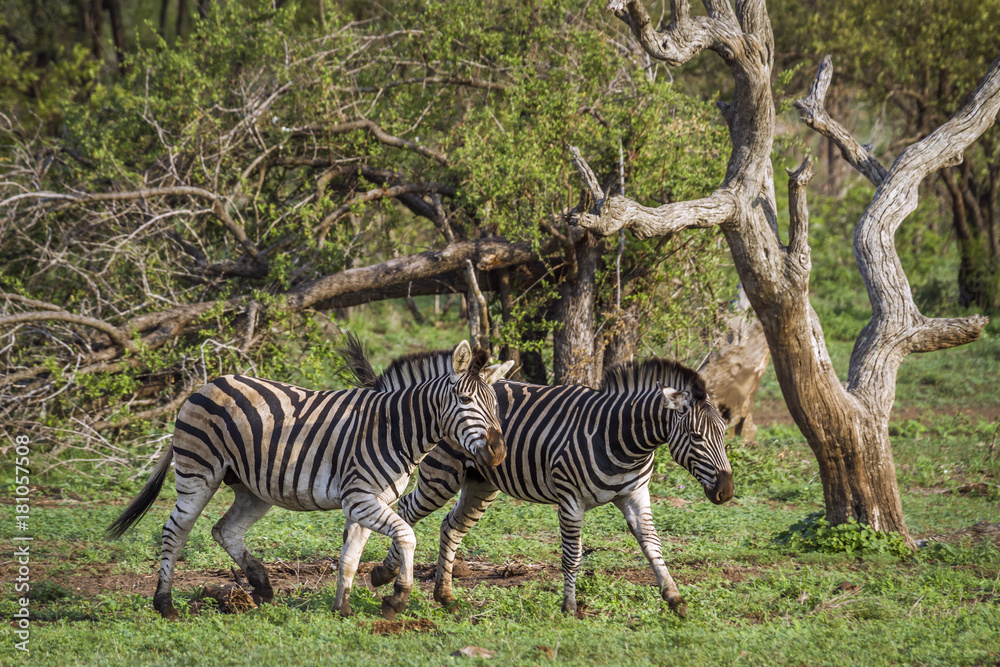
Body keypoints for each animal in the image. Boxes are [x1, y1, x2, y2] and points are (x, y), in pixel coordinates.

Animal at [107, 337, 514, 620]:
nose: (498, 453)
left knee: (225, 530)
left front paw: (341, 609)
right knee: (174, 532)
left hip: (253, 488)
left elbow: (350, 556)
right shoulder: (360, 498)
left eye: (495, 405)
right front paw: (397, 598)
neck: (393, 428)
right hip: (199, 473)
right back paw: (165, 605)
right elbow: (407, 535)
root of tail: (205, 386)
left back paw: (261, 586)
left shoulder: (368, 502)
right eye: (464, 401)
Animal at [359, 353, 733, 616]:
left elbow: (653, 546)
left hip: (482, 482)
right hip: (442, 474)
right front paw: (569, 608)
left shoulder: (635, 494)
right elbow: (572, 556)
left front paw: (674, 598)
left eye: (724, 433)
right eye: (696, 436)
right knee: (408, 509)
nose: (726, 491)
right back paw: (385, 574)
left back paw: (445, 595)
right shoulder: (569, 500)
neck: (622, 438)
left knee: (451, 526)